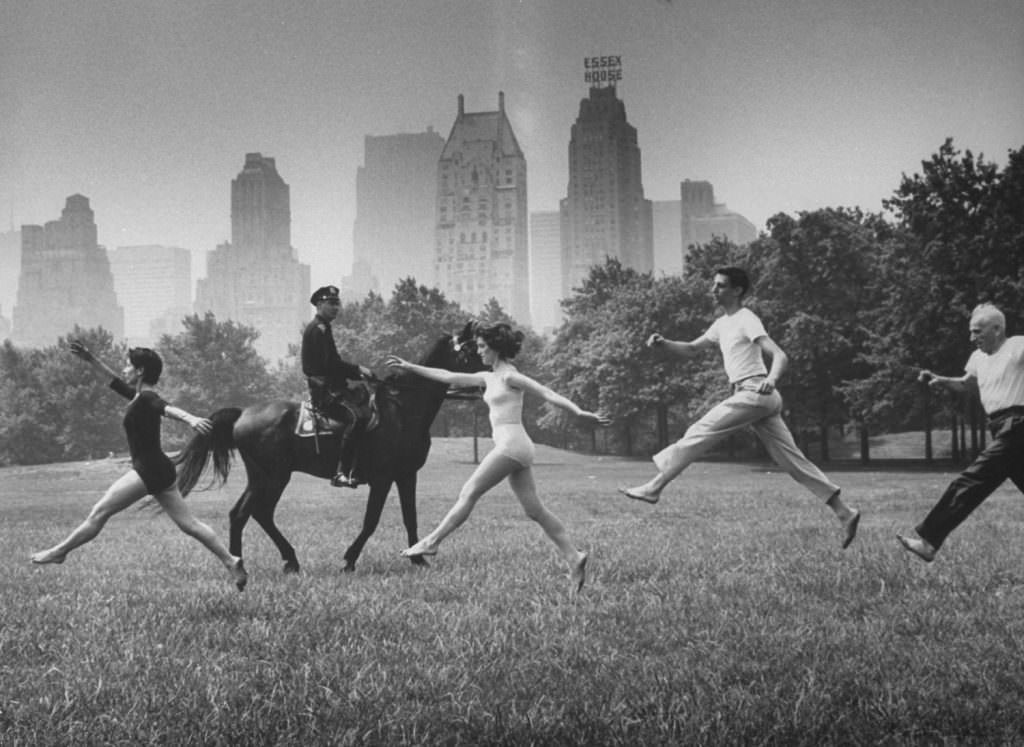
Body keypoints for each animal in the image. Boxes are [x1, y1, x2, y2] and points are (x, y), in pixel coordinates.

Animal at [176, 319, 483, 569]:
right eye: (472, 351)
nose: (486, 377)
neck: (403, 408)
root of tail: (242, 414)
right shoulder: (383, 479)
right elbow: (371, 521)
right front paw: (349, 560)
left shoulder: (406, 476)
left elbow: (410, 517)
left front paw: (417, 559)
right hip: (272, 476)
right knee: (248, 513)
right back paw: (247, 563)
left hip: (265, 477)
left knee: (251, 514)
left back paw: (272, 561)